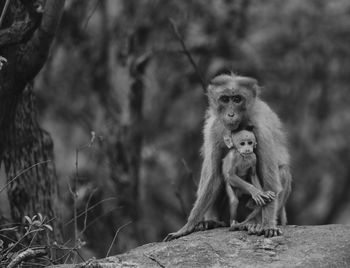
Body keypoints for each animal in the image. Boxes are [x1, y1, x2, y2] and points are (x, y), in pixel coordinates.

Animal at [165, 74, 292, 241]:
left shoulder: (261, 129)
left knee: (282, 171)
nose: (230, 114)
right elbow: (214, 176)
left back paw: (253, 222)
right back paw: (212, 222)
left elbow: (271, 184)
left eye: (237, 99)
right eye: (225, 99)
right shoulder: (214, 128)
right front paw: (187, 226)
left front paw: (267, 225)